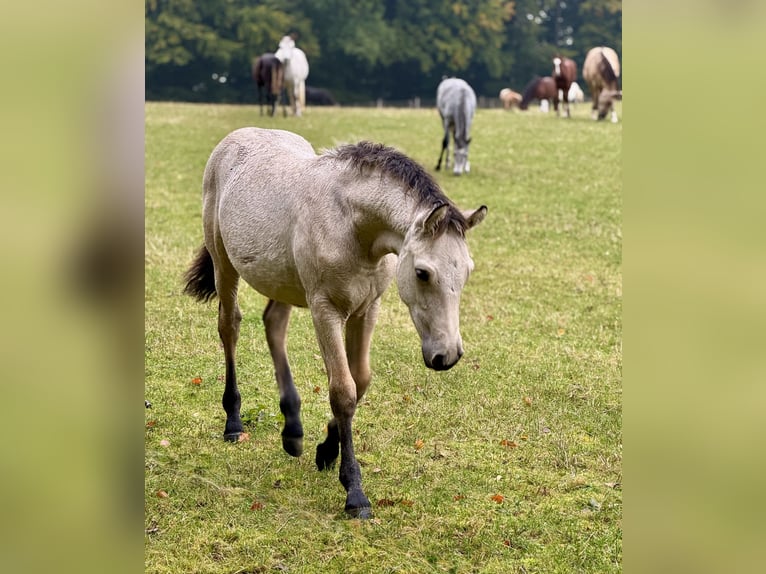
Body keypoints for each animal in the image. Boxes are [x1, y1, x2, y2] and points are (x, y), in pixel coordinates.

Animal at [183, 127, 487, 519]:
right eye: (422, 273)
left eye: (467, 271)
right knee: (229, 327)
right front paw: (354, 491)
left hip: (283, 281)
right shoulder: (325, 311)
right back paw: (234, 422)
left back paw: (292, 431)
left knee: (273, 325)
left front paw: (326, 450)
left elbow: (361, 380)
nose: (447, 356)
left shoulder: (366, 309)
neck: (351, 225)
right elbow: (343, 390)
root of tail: (235, 138)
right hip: (224, 265)